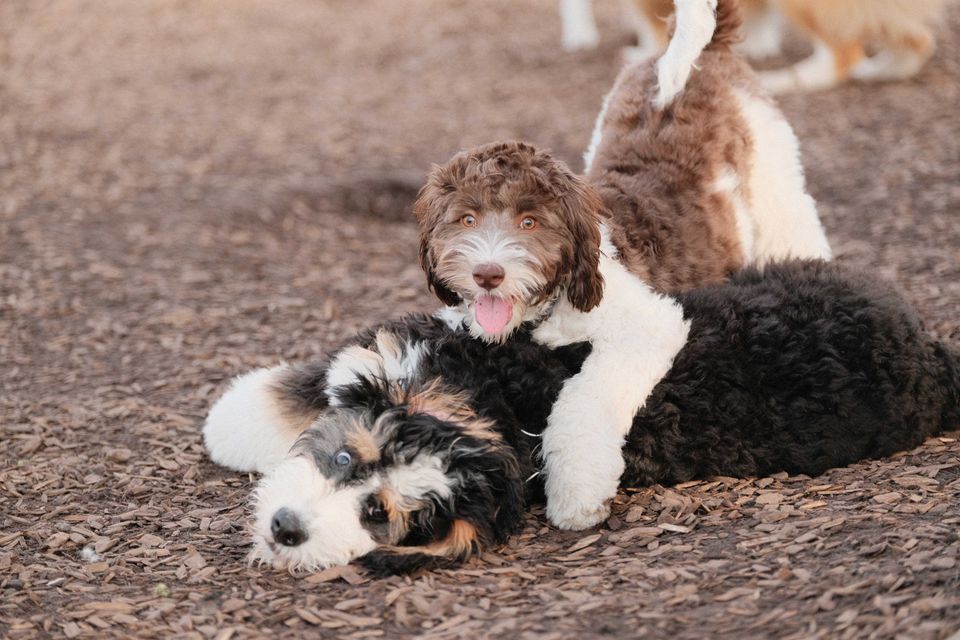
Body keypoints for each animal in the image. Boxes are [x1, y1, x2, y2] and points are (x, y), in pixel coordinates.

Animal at [204, 260, 960, 576]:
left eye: (378, 516)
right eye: (342, 460)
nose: (286, 528)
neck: (495, 403)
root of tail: (932, 352)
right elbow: (307, 388)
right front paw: (232, 421)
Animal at [416, 0, 828, 528]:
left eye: (530, 221)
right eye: (467, 218)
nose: (488, 274)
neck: (548, 308)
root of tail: (705, 54)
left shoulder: (647, 325)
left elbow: (583, 403)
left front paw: (576, 495)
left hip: (776, 185)